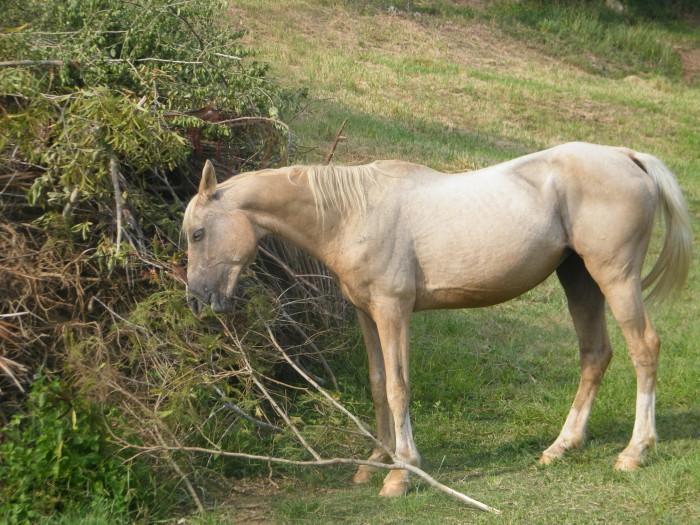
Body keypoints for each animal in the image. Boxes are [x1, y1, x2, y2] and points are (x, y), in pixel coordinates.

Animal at [183, 142, 692, 496]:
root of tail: (627, 157)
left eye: (198, 232)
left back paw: (635, 452)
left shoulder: (393, 311)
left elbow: (398, 387)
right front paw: (375, 463)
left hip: (615, 278)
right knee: (595, 355)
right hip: (581, 280)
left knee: (644, 348)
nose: (198, 301)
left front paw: (402, 473)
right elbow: (377, 384)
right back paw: (561, 446)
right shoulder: (367, 315)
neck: (351, 213)